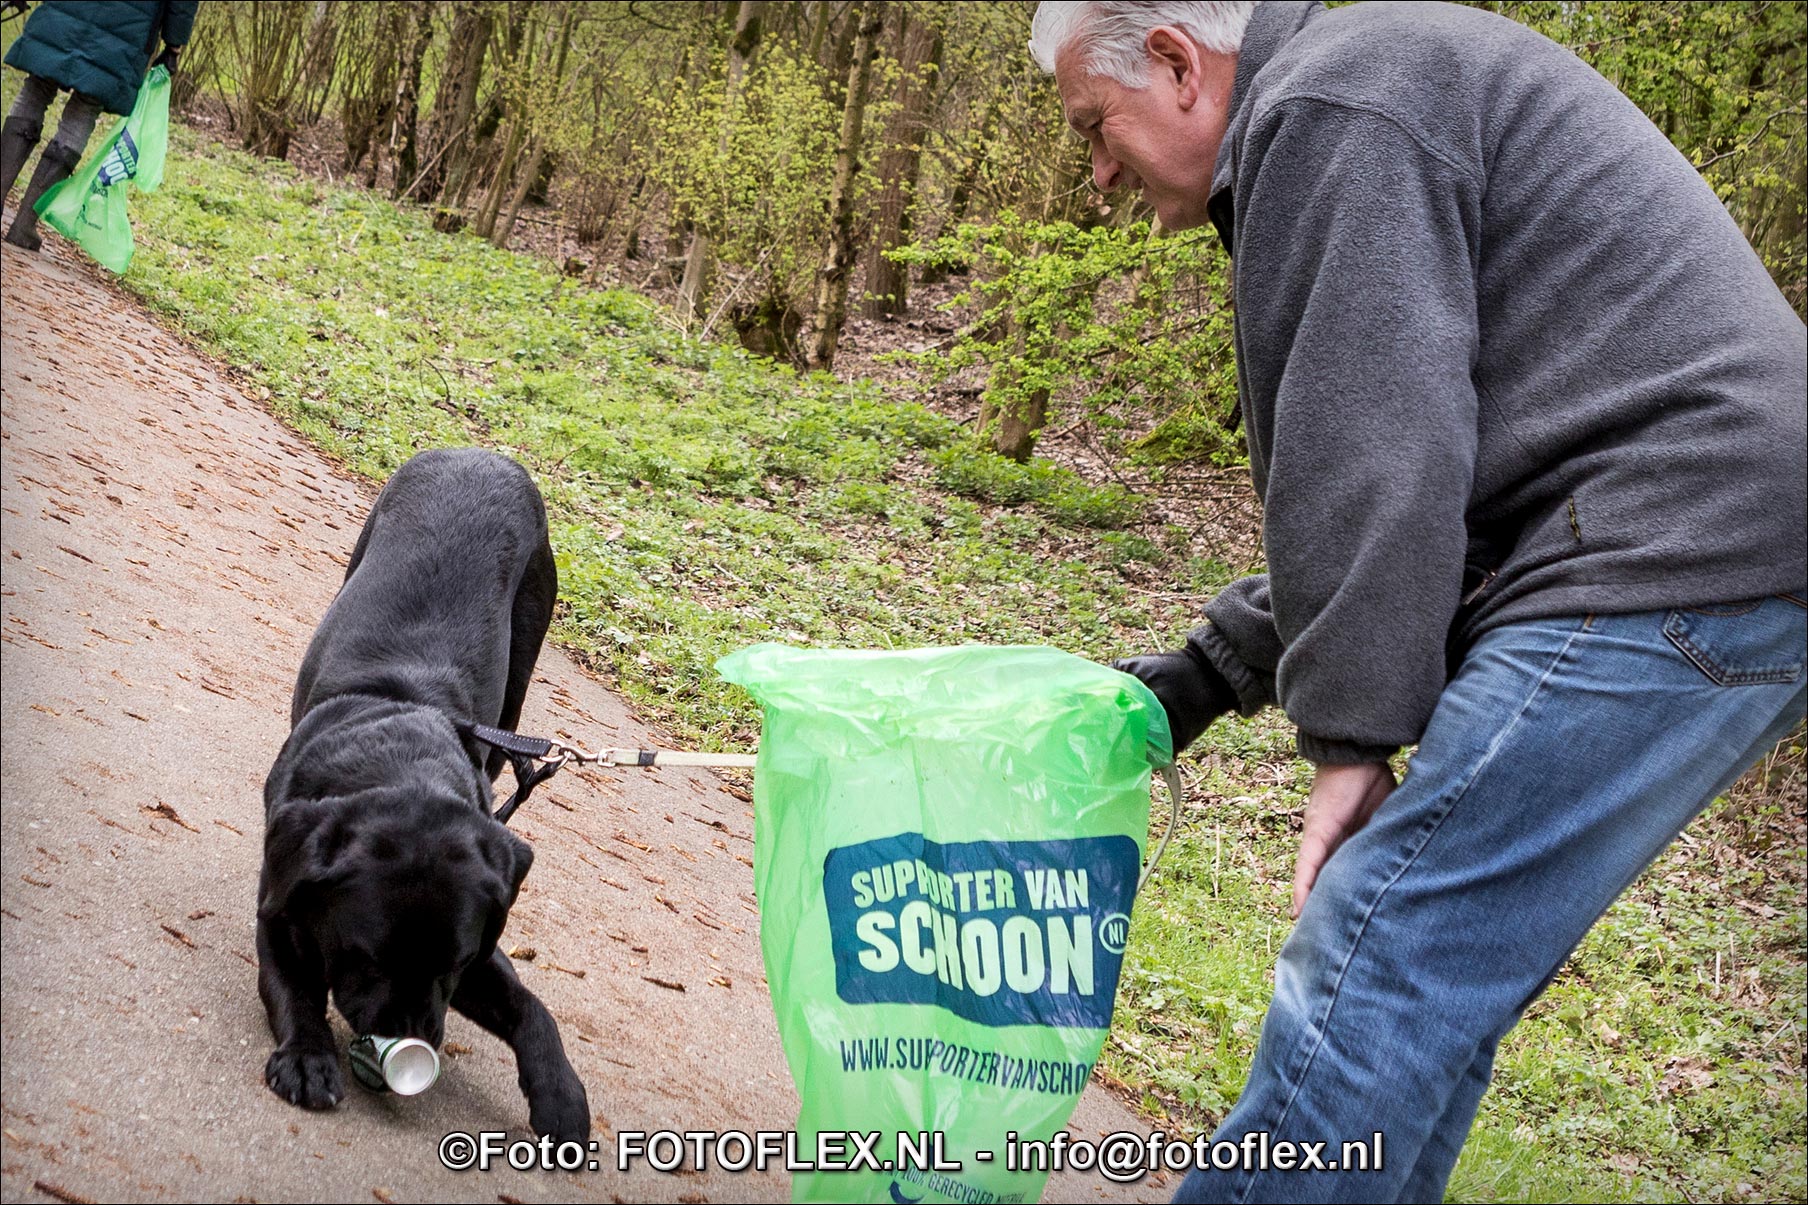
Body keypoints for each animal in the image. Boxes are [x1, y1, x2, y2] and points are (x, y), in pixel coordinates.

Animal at [257, 447, 589, 1143]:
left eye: (452, 965)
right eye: (366, 957)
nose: (410, 1039)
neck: (401, 751)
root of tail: (483, 454)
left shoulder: (483, 950)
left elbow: (532, 1008)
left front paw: (561, 1098)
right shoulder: (275, 909)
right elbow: (293, 991)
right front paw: (307, 1057)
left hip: (520, 673)